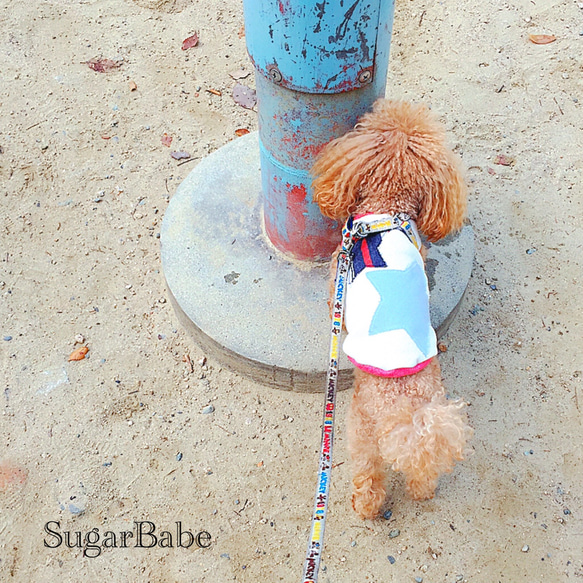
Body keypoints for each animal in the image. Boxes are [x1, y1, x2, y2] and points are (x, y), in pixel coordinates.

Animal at [312, 100, 472, 520]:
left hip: (359, 428)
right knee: (421, 470)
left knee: (368, 473)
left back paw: (365, 506)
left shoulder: (337, 275)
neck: (388, 208)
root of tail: (405, 412)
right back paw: (422, 491)